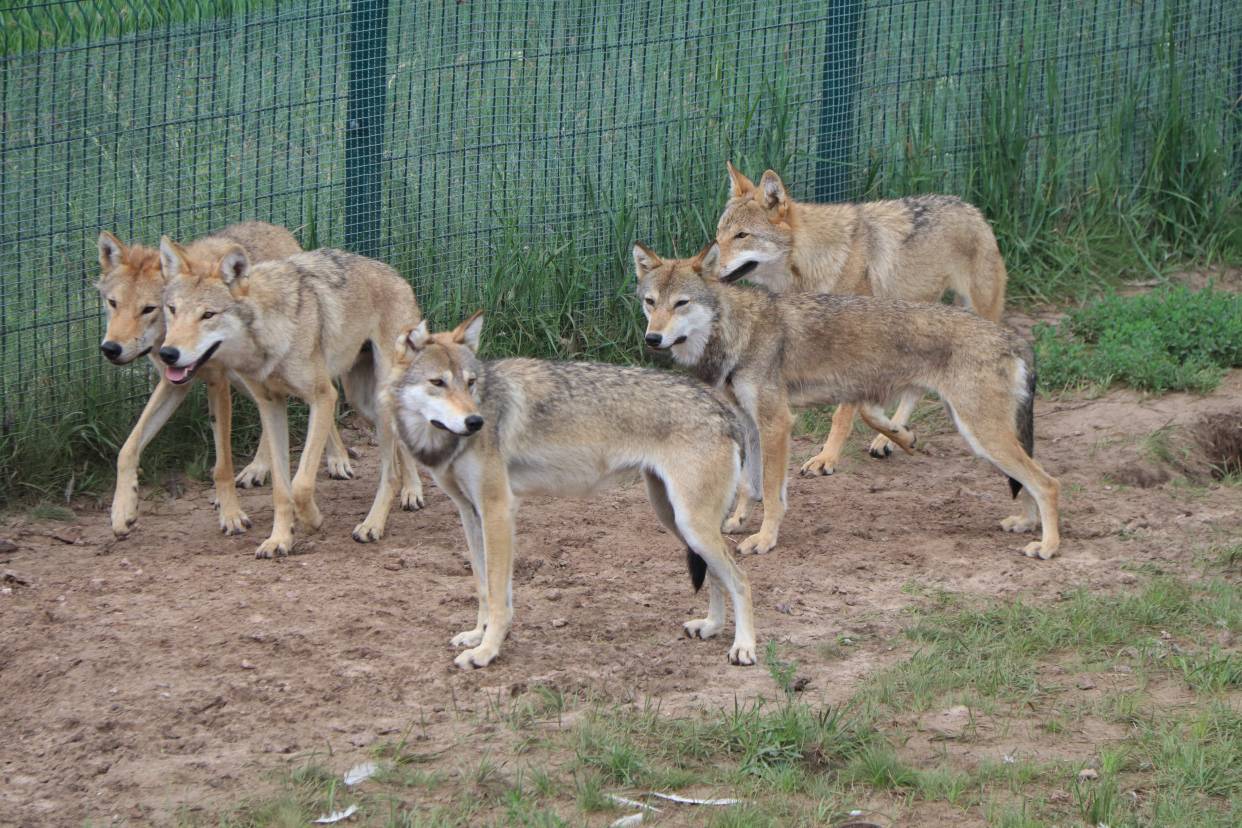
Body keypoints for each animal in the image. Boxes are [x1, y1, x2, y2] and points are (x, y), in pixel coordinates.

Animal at [97, 223, 357, 541]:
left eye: (149, 309)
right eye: (113, 303)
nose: (110, 349)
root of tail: (275, 228)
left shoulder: (217, 384)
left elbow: (222, 466)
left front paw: (231, 516)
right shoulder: (175, 383)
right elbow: (127, 449)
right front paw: (122, 510)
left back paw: (337, 459)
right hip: (247, 380)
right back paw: (259, 467)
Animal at [158, 243, 427, 561]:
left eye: (208, 314)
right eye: (172, 309)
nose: (167, 353)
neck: (268, 331)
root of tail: (398, 276)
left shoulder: (324, 398)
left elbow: (301, 484)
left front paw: (313, 521)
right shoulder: (271, 404)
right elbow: (281, 489)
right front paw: (279, 540)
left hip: (377, 399)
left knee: (390, 472)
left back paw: (376, 522)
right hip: (362, 402)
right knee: (400, 447)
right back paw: (410, 493)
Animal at [387, 314, 755, 670]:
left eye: (470, 382)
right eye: (438, 382)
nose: (475, 422)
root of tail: (725, 413)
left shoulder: (498, 511)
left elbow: (498, 596)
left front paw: (486, 652)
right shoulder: (470, 512)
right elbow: (482, 585)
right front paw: (478, 636)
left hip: (692, 526)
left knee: (740, 579)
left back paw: (744, 648)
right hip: (675, 520)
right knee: (716, 575)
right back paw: (711, 627)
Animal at [640, 243, 1058, 561]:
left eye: (681, 303)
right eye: (650, 302)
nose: (652, 339)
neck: (738, 328)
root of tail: (1011, 337)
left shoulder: (777, 423)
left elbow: (773, 492)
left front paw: (765, 539)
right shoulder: (750, 422)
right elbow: (749, 484)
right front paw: (739, 521)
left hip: (982, 436)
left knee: (1048, 482)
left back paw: (1048, 546)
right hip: (983, 435)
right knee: (1030, 478)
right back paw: (1025, 523)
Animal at [720, 165, 1008, 476]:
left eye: (742, 235)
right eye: (719, 234)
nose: (706, 263)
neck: (819, 260)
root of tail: (968, 206)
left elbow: (843, 414)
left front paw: (827, 457)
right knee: (917, 387)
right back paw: (889, 439)